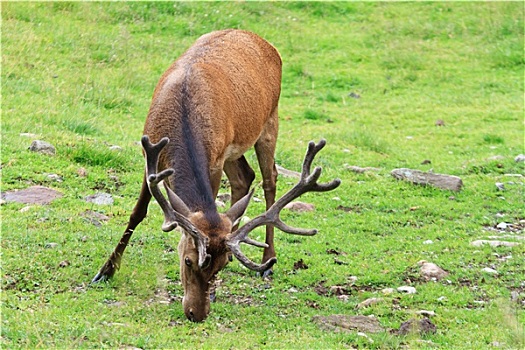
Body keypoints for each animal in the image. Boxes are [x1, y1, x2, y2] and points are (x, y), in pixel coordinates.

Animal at [91, 28, 340, 322]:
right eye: (188, 260)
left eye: (219, 265)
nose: (196, 313)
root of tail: (259, 38)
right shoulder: (149, 152)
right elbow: (137, 212)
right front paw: (105, 271)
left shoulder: (215, 159)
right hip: (237, 146)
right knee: (245, 176)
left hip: (270, 120)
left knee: (270, 179)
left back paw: (268, 259)